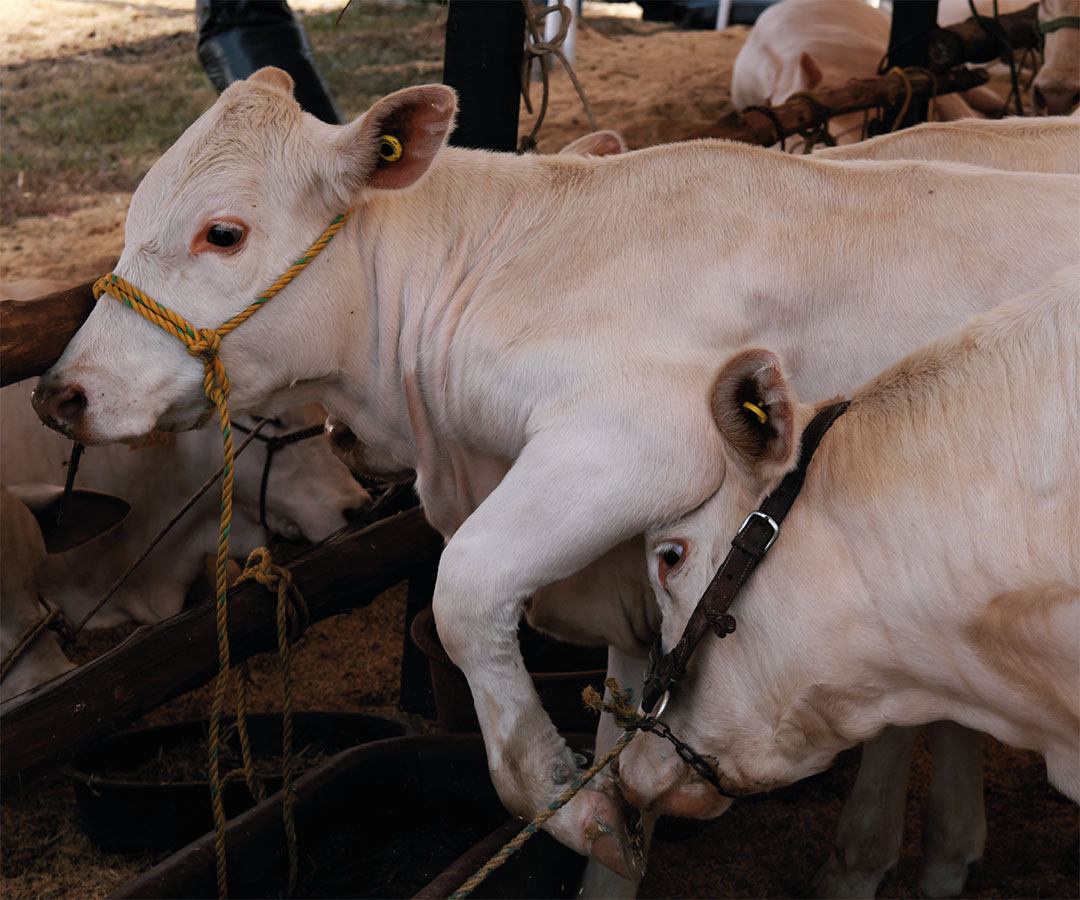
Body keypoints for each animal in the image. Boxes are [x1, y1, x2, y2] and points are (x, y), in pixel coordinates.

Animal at [29, 68, 1075, 877]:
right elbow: (632, 727)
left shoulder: (636, 441)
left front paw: (564, 800)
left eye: (224, 233)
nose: (59, 394)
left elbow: (465, 591)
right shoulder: (634, 596)